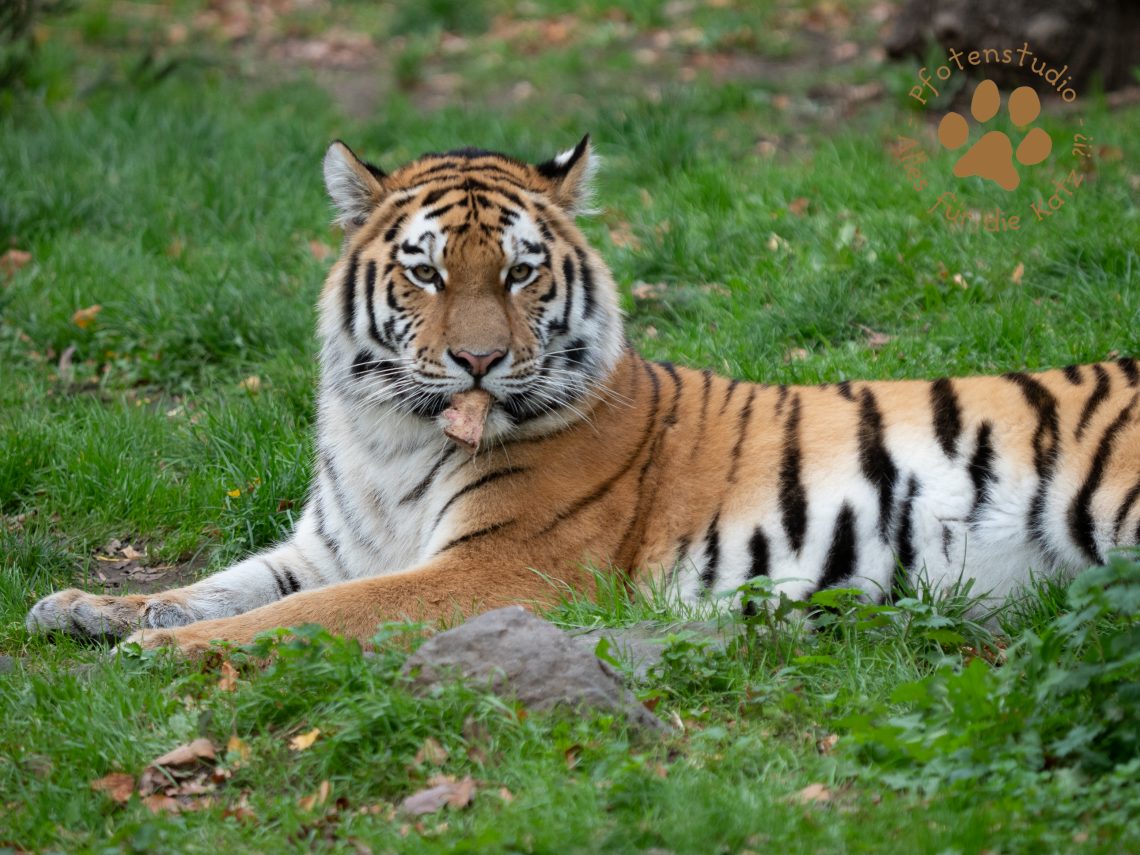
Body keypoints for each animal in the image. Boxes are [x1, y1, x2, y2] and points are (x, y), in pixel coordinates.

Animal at [26, 137, 1140, 653]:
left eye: (521, 273)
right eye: (426, 271)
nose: (478, 362)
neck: (386, 434)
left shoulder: (491, 570)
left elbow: (297, 616)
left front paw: (162, 655)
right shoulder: (334, 545)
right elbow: (219, 584)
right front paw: (82, 607)